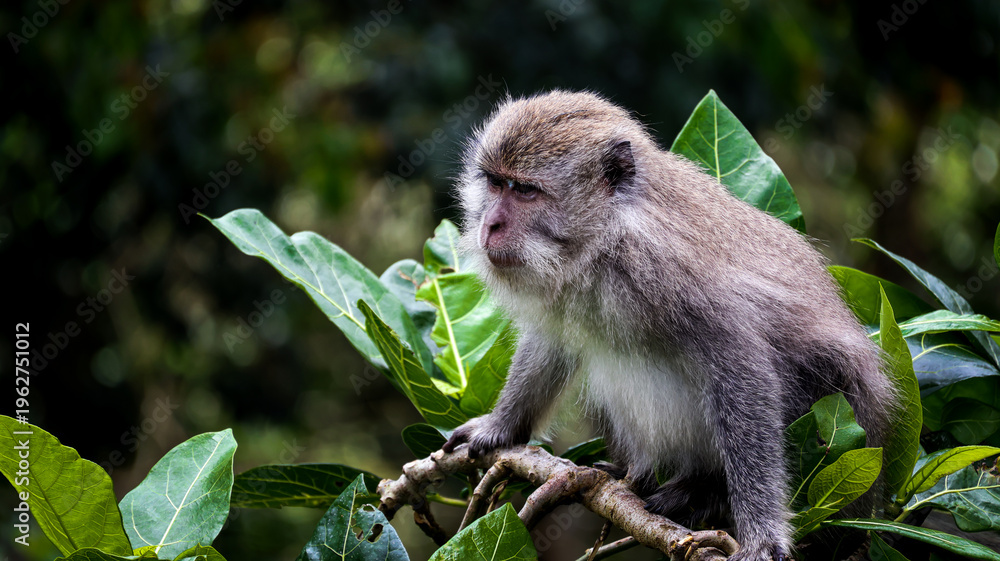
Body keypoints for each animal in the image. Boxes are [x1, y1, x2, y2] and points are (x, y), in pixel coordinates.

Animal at [441, 90, 896, 561]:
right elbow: (552, 342)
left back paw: (706, 490)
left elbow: (741, 366)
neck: (604, 237)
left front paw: (763, 533)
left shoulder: (664, 268)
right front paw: (501, 426)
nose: (490, 224)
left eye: (526, 191)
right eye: (496, 183)